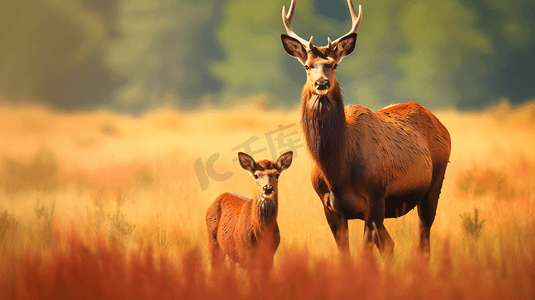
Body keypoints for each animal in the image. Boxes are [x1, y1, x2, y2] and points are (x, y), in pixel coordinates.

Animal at [280, 0, 452, 258]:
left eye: (334, 64)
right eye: (307, 66)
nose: (322, 83)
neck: (337, 173)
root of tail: (441, 125)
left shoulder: (375, 198)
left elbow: (365, 256)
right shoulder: (330, 208)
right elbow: (348, 257)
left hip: (434, 183)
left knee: (423, 242)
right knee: (391, 246)